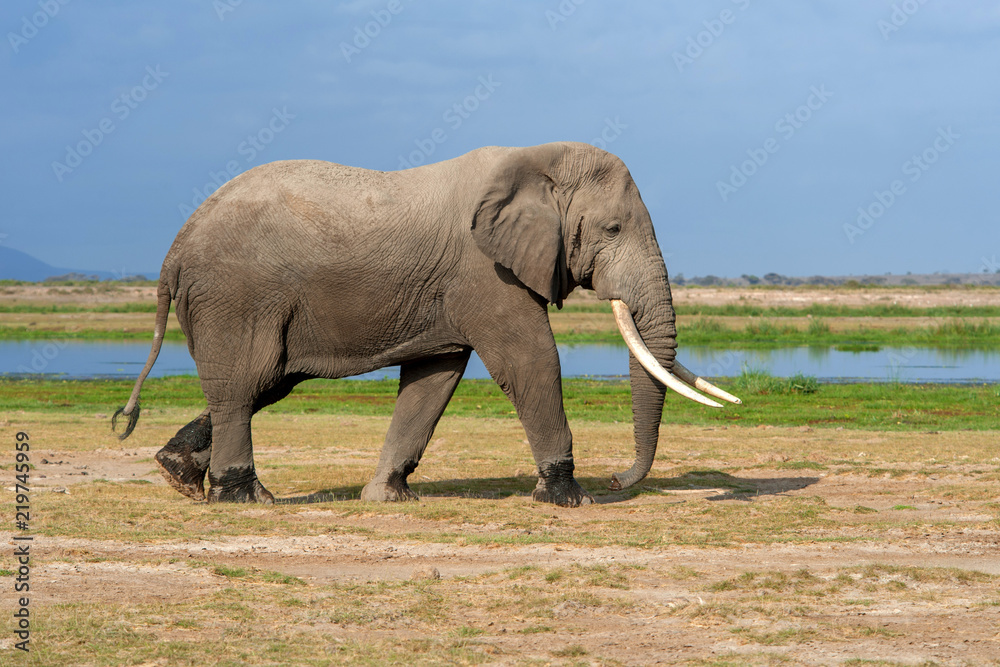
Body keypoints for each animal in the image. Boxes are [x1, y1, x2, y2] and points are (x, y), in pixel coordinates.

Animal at [112, 142, 740, 507]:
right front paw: (569, 498)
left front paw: (386, 498)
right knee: (246, 384)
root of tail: (174, 250)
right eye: (612, 229)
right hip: (237, 296)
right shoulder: (485, 271)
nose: (617, 480)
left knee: (261, 384)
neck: (535, 157)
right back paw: (243, 500)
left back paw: (179, 475)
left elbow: (434, 378)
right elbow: (531, 358)